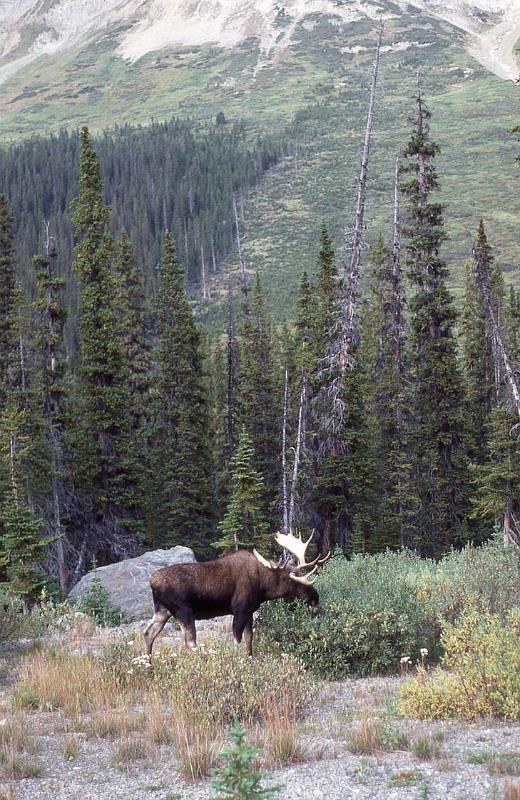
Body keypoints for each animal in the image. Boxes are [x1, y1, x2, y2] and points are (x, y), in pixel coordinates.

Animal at [143, 531, 329, 657]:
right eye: (293, 579)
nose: (315, 598)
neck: (263, 586)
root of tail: (152, 581)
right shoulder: (240, 610)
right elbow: (237, 642)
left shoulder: (249, 612)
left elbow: (249, 641)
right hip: (184, 611)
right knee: (190, 643)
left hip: (162, 610)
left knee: (148, 633)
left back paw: (148, 665)